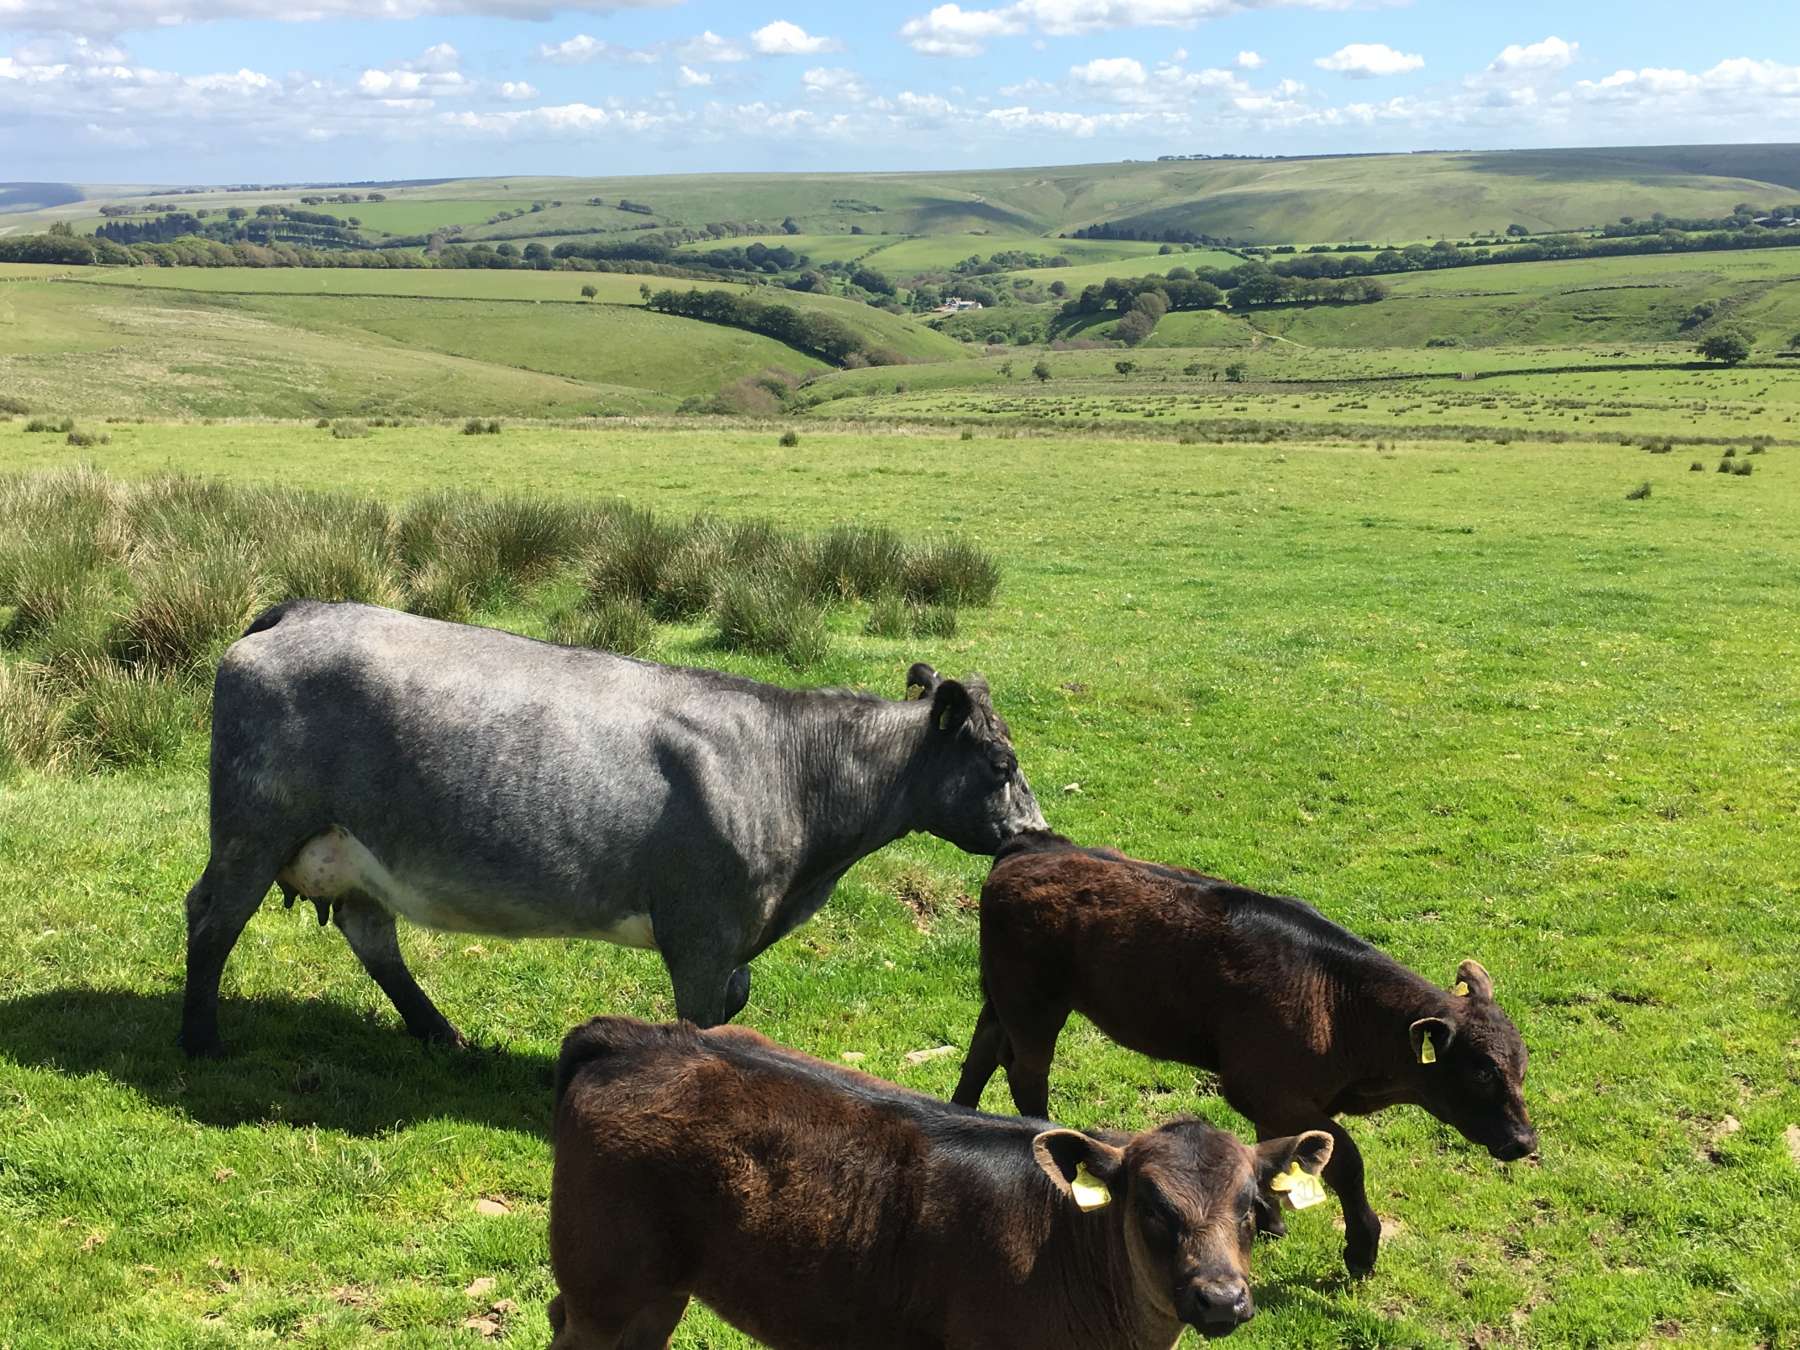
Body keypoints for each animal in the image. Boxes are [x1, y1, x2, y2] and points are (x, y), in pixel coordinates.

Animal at [171, 601, 1044, 1058]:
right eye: (1001, 763)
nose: (1035, 833)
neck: (793, 768)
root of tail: (302, 610)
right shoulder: (704, 929)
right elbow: (705, 1017)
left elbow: (735, 1000)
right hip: (252, 828)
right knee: (211, 918)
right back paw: (201, 1038)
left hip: (352, 852)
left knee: (372, 939)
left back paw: (440, 1032)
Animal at [540, 1022, 1332, 1346]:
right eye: (1152, 1209)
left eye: (1253, 1208)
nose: (1222, 1298)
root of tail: (637, 1038)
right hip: (603, 1280)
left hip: (656, 1286)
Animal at [950, 835, 1540, 1281]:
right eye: (1481, 1069)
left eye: (1522, 1066)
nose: (1524, 1141)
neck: (1338, 1002)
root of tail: (1029, 848)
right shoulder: (1266, 1089)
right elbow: (1346, 1160)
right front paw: (1360, 1249)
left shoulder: (1273, 1099)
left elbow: (1278, 1152)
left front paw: (1270, 1219)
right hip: (1033, 1006)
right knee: (1026, 1074)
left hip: (1001, 999)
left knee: (982, 1051)